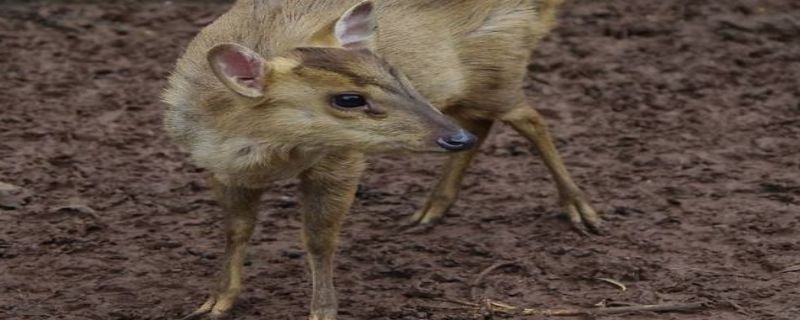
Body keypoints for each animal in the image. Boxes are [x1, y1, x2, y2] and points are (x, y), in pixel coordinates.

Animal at [164, 0, 600, 320]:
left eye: (396, 73)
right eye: (348, 98)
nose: (452, 136)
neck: (267, 152)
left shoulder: (341, 161)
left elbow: (319, 239)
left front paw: (322, 311)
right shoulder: (221, 168)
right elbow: (235, 231)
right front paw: (215, 303)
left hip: (498, 70)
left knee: (530, 118)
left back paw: (582, 212)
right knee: (484, 123)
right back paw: (430, 210)